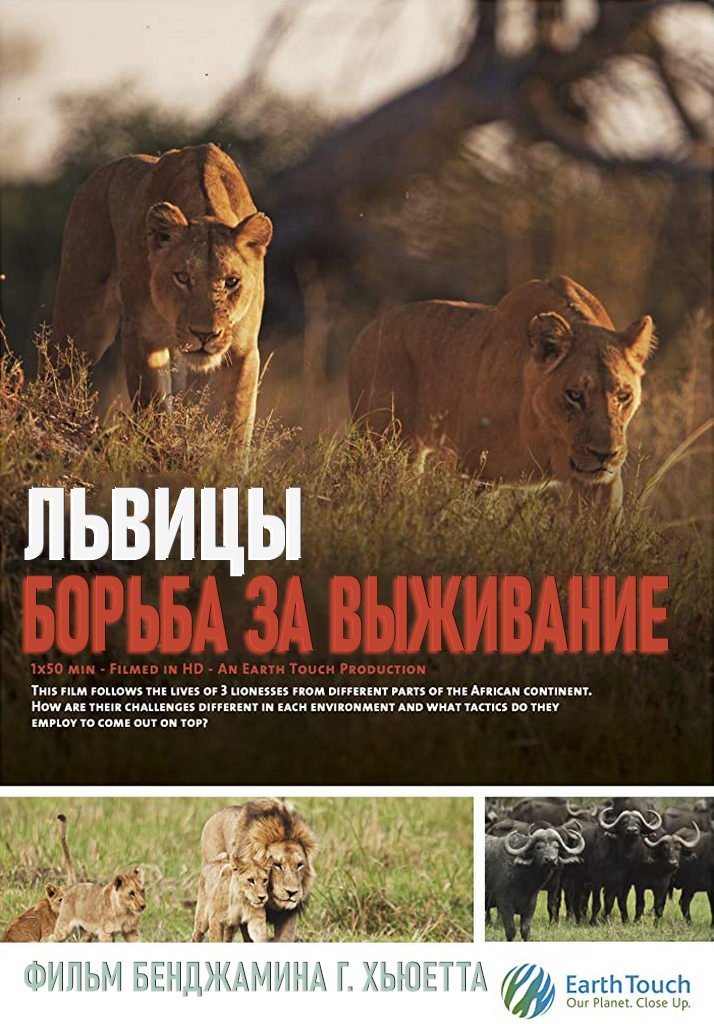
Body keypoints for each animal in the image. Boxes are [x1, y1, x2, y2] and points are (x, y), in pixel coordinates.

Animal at [52, 143, 272, 462]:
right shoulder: (141, 336)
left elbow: (235, 423)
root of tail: (94, 177)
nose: (205, 335)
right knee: (58, 371)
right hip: (80, 322)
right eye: (182, 277)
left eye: (231, 282)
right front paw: (158, 451)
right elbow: (152, 405)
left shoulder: (242, 349)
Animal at [348, 276, 656, 512]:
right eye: (575, 395)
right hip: (384, 444)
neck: (546, 433)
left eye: (623, 396)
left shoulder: (603, 482)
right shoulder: (474, 471)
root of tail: (367, 329)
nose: (604, 454)